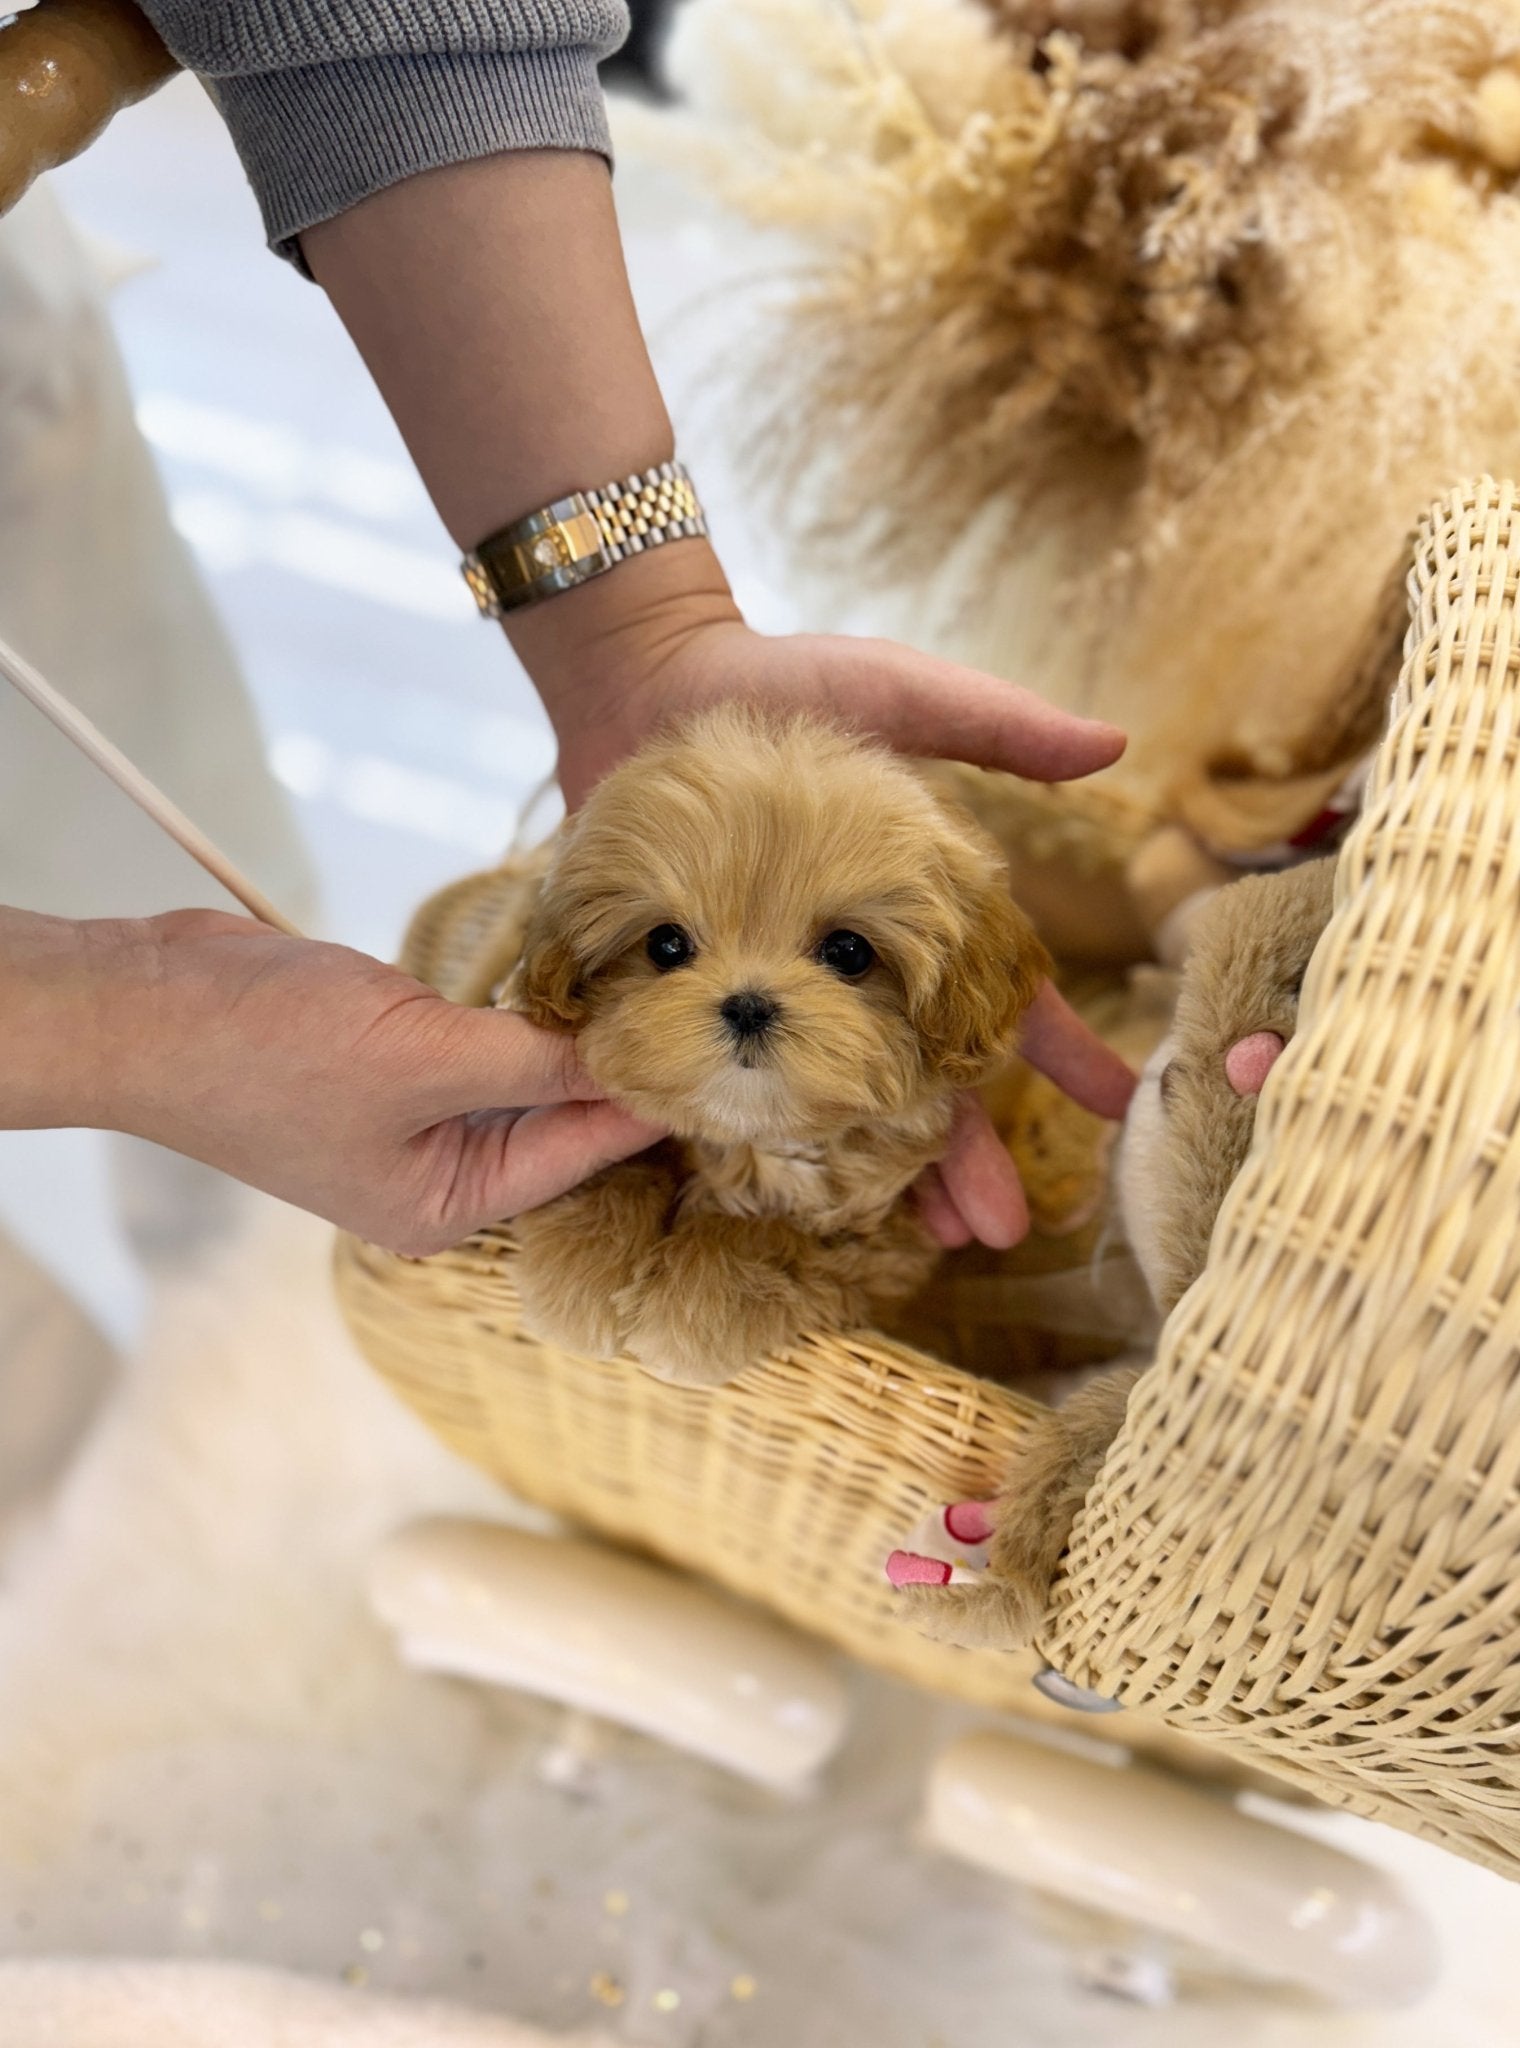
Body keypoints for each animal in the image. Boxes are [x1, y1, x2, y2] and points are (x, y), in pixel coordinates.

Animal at [505, 708, 1057, 1392]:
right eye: (665, 945)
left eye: (848, 952)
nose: (748, 1005)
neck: (753, 1130)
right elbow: (619, 1169)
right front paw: (583, 1266)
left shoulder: (889, 1236)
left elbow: (775, 1239)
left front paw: (696, 1305)